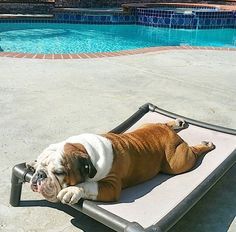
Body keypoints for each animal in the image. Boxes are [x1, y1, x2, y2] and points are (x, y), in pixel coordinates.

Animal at [28, 118, 215, 204]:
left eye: (59, 173)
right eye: (39, 167)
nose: (39, 175)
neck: (84, 149)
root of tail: (166, 132)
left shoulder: (111, 187)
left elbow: (89, 185)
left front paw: (72, 190)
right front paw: (31, 163)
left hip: (177, 162)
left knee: (192, 152)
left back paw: (206, 145)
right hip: (145, 126)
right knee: (163, 123)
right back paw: (176, 121)